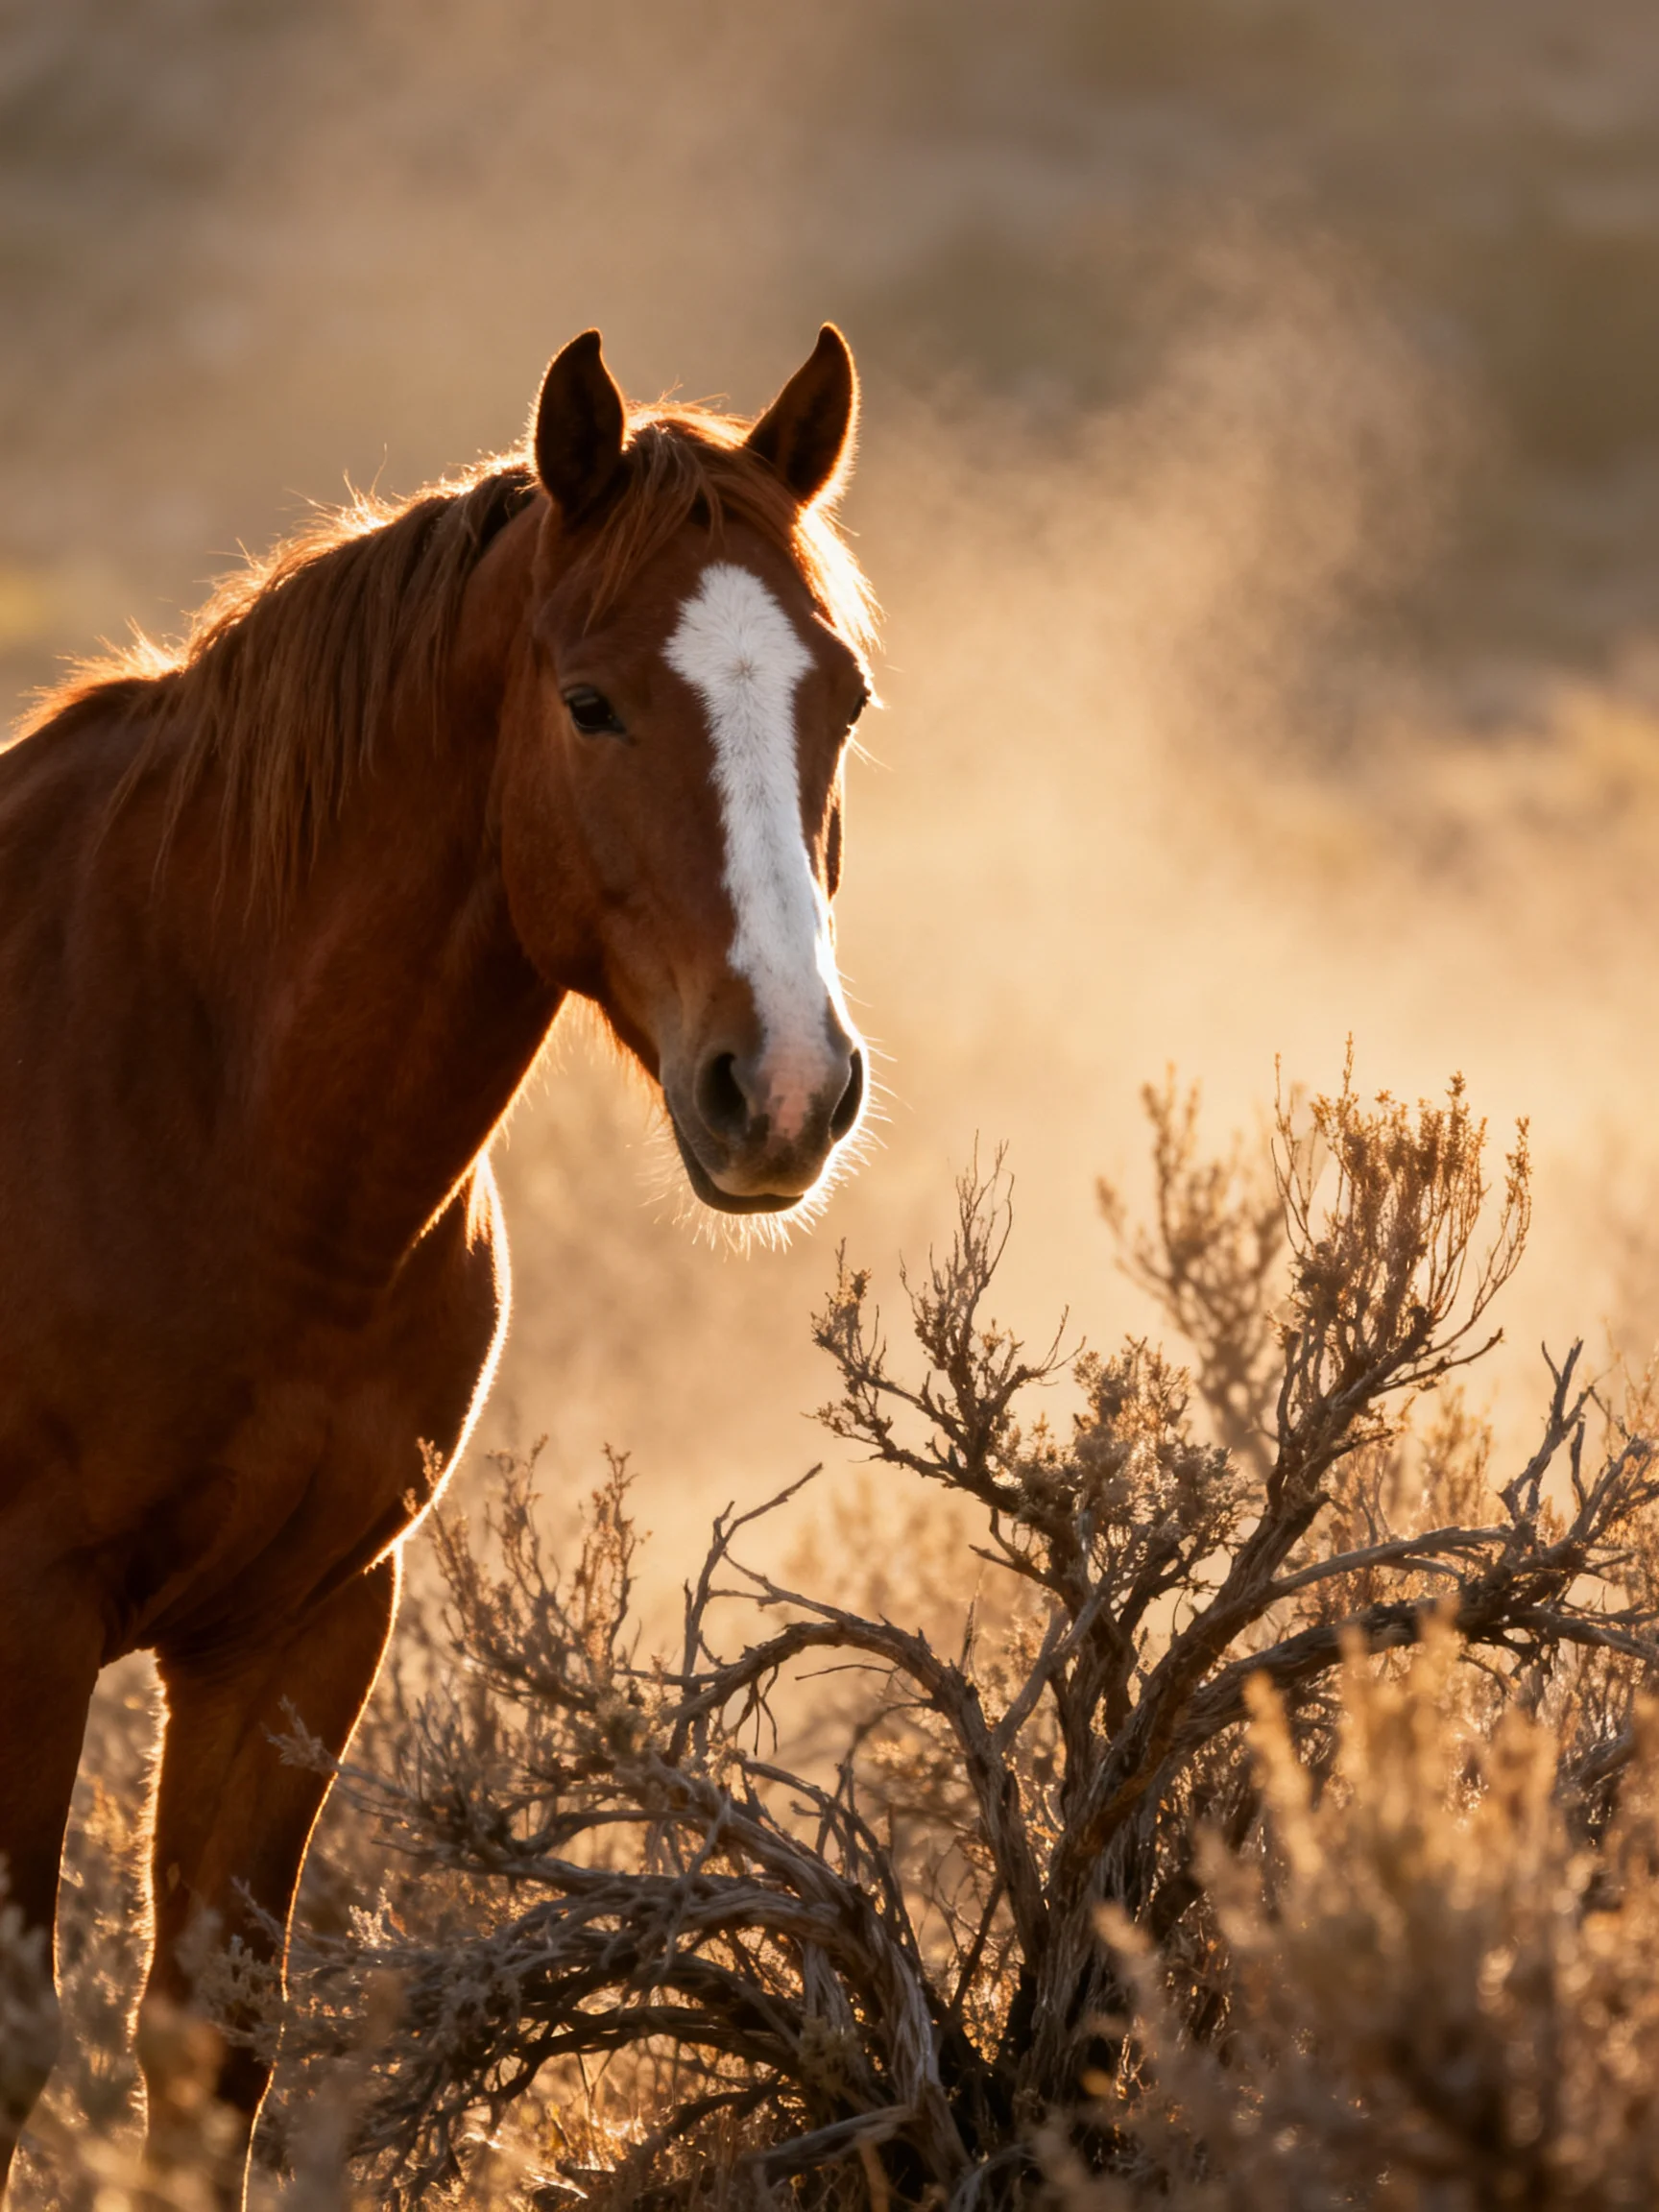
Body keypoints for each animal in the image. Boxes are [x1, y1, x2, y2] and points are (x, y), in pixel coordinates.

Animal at [0, 324, 875, 2203]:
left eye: (837, 697)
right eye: (590, 701)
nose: (781, 1087)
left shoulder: (304, 1625)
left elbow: (209, 2050)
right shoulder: (24, 1614)